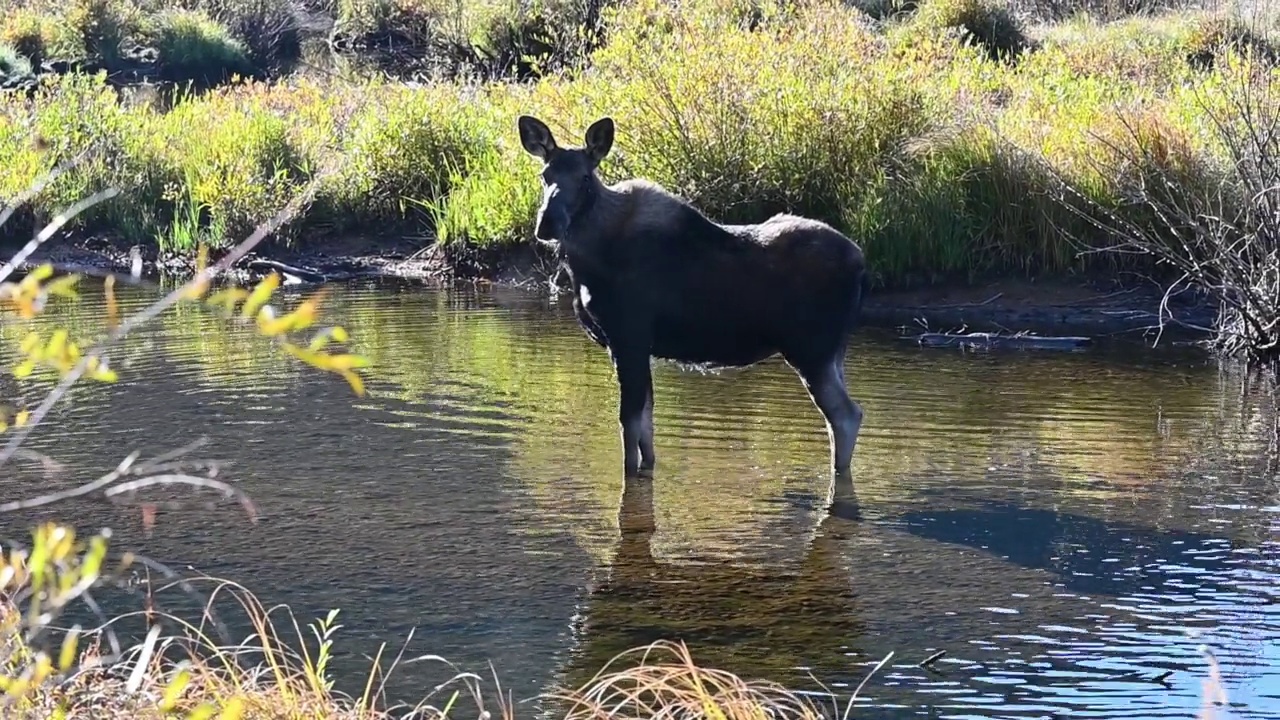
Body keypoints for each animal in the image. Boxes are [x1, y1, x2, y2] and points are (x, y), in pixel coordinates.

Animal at [517, 114, 870, 479]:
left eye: (585, 177)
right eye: (545, 175)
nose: (547, 223)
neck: (586, 263)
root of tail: (860, 263)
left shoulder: (628, 337)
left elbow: (628, 428)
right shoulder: (635, 346)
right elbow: (646, 432)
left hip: (811, 350)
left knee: (846, 416)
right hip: (832, 354)